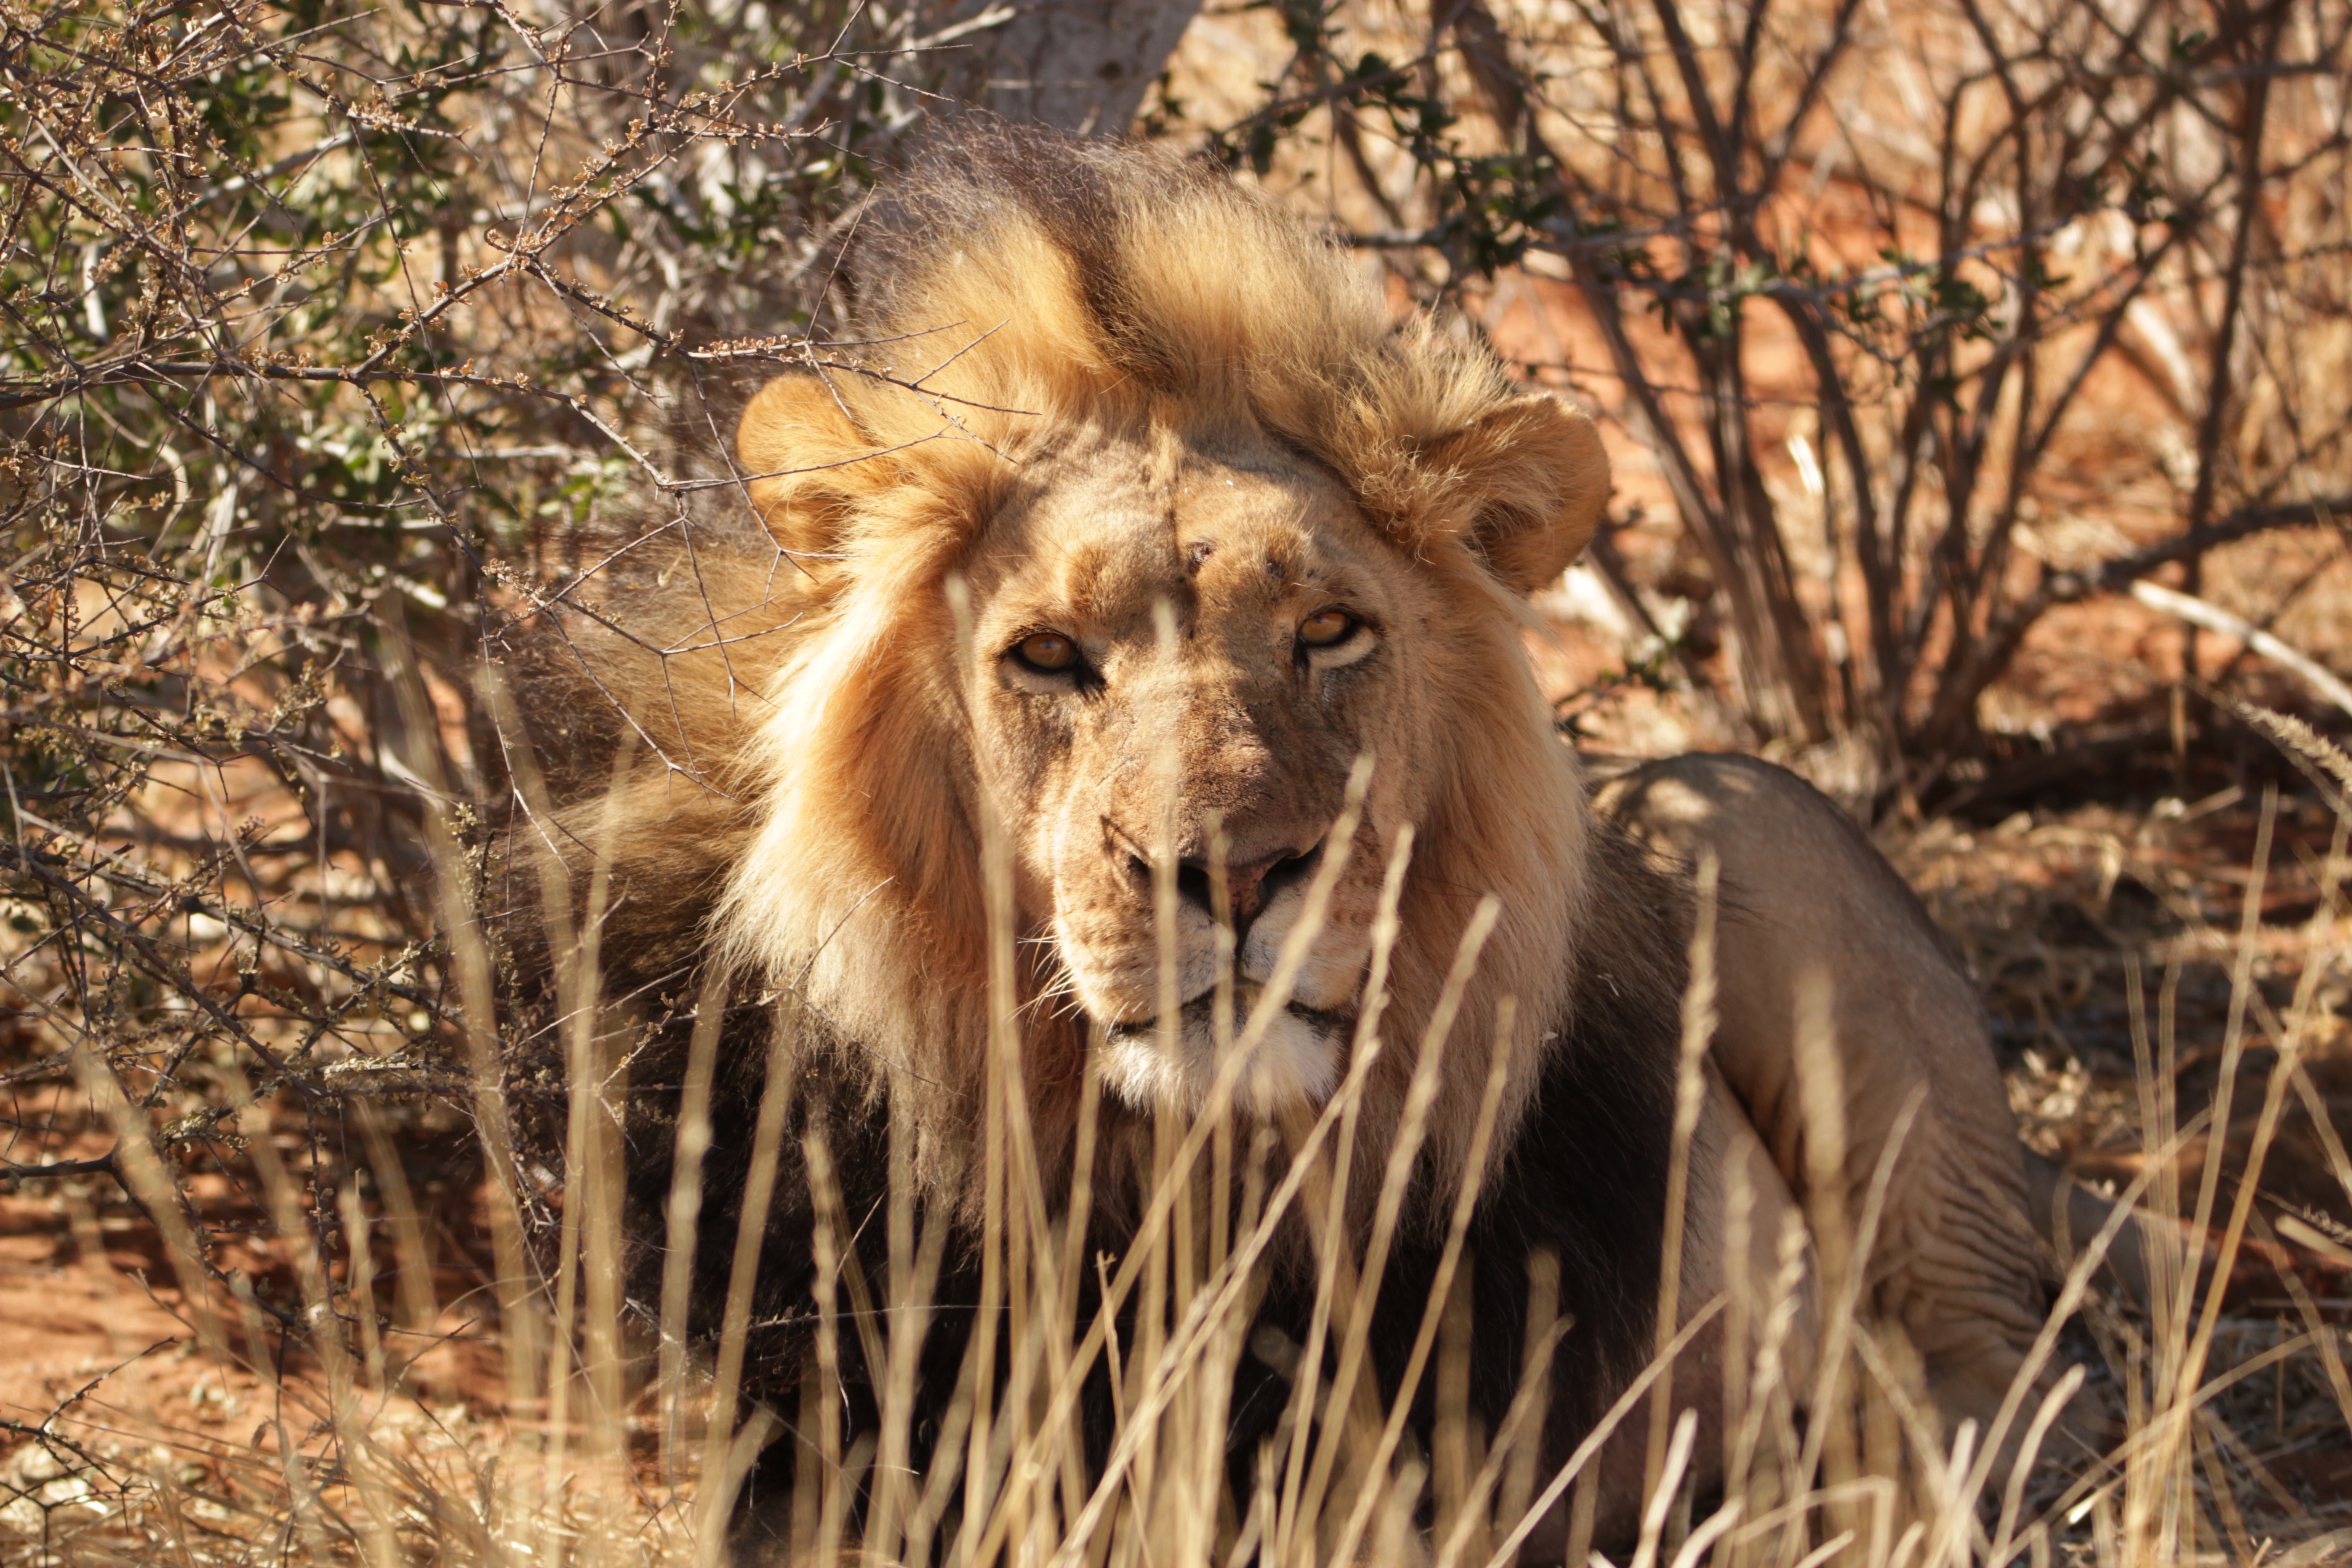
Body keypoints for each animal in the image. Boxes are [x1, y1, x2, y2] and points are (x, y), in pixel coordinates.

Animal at [494, 129, 2087, 1559]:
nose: (1234, 875)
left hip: (1758, 831)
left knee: (1990, 1391)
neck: (1197, 1180)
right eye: (1050, 656)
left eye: (1330, 632)